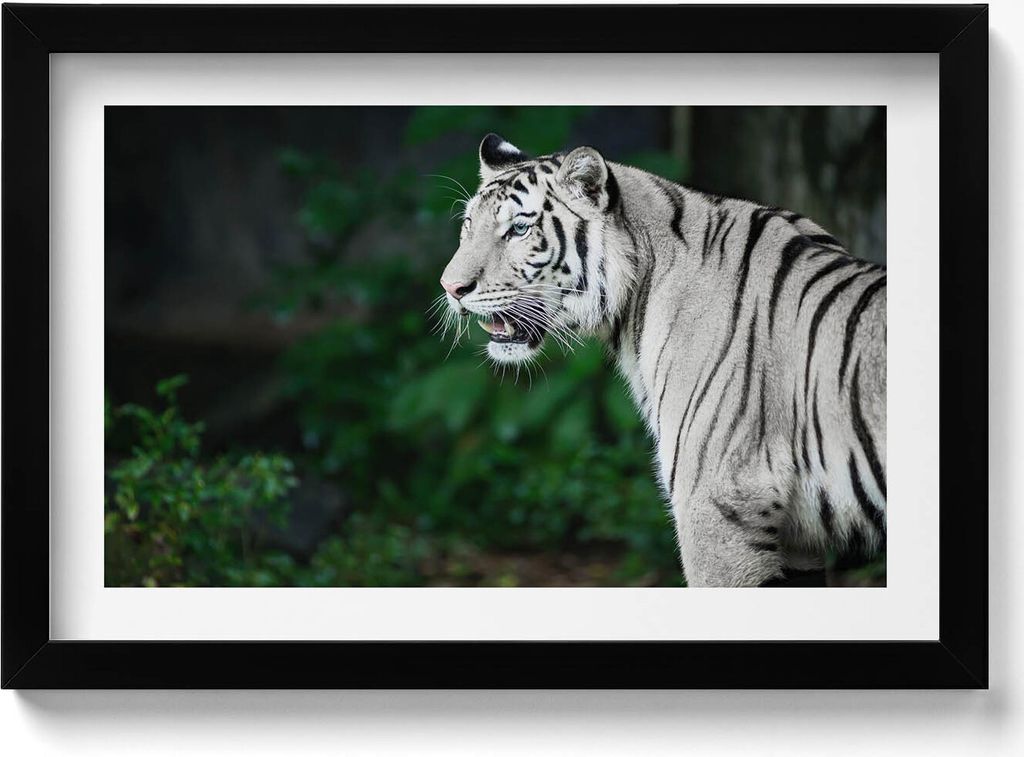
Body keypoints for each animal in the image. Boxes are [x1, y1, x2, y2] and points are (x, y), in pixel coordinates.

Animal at [439, 133, 886, 587]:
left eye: (519, 229)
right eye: (468, 224)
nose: (450, 287)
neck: (634, 302)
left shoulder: (717, 508)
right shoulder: (796, 545)